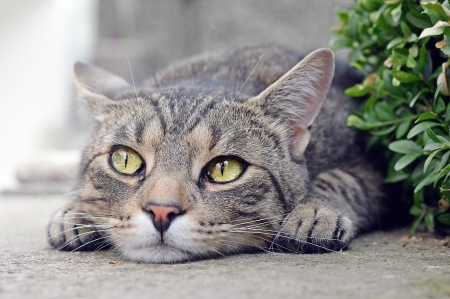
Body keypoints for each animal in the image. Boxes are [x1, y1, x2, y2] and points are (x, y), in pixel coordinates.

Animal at [46, 45, 384, 264]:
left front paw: (315, 211)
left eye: (224, 168)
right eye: (125, 160)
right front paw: (74, 212)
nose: (161, 211)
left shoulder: (374, 168)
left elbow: (340, 179)